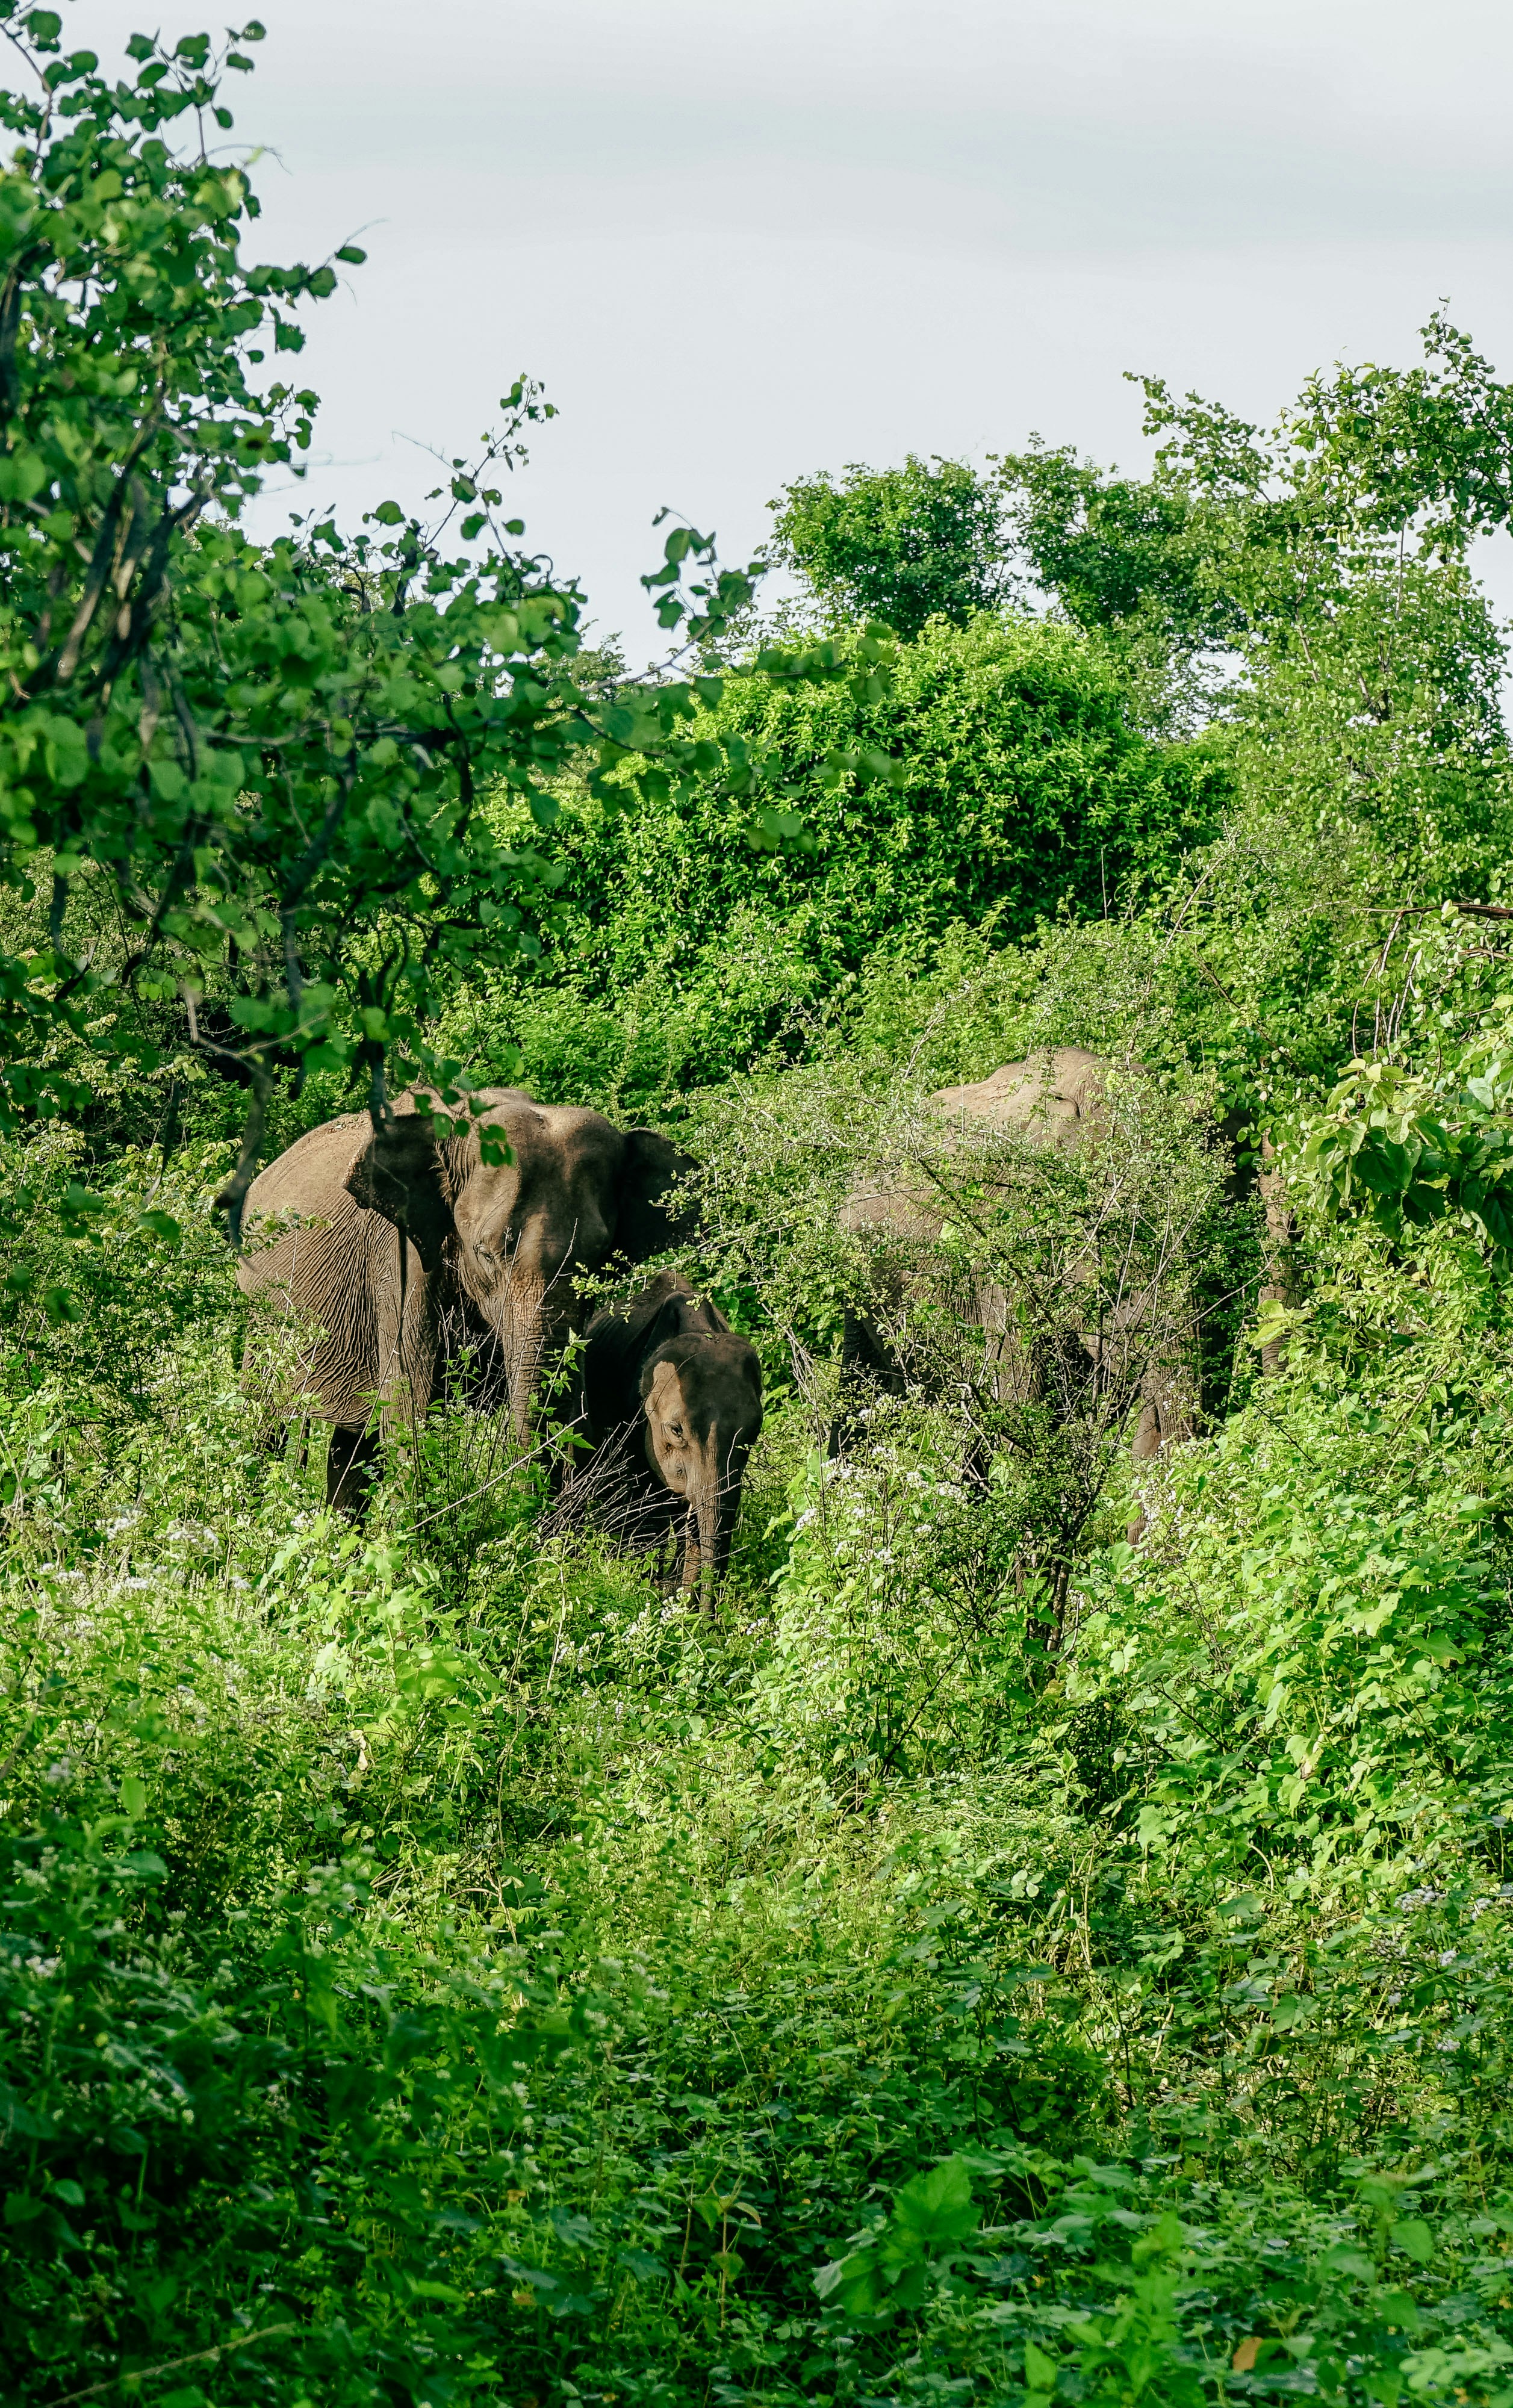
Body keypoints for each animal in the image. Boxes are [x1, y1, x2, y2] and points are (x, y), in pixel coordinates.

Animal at [224, 1087, 696, 1511]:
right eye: (485, 1252)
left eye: (599, 1258)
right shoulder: (398, 1257)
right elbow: (408, 1413)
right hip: (261, 1310)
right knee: (262, 1419)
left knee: (353, 1442)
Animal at [571, 1269, 763, 1603]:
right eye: (676, 1430)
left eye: (753, 1433)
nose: (709, 1617)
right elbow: (646, 1508)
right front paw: (650, 1590)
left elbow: (692, 1516)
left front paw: (678, 1598)